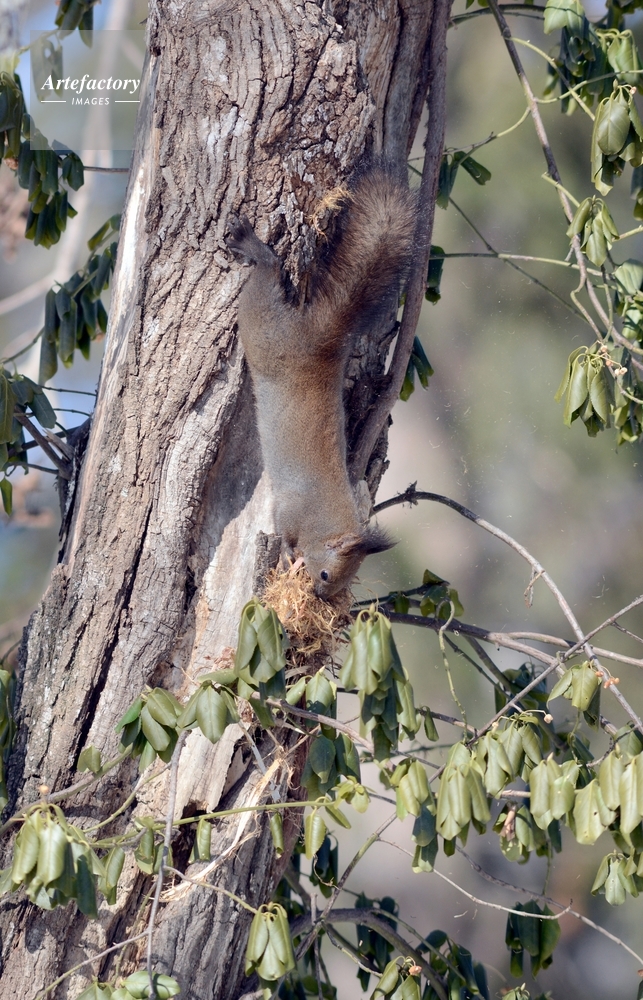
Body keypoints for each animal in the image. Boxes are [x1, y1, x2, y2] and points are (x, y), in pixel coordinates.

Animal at [226, 168, 416, 599]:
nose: (319, 595)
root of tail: (320, 344)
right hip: (261, 324)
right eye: (328, 574)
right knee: (267, 272)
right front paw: (287, 558)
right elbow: (282, 534)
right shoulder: (289, 511)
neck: (325, 519)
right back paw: (252, 245)